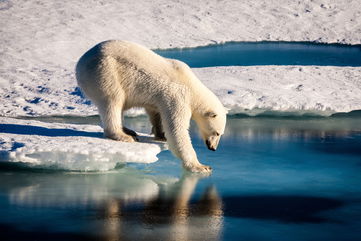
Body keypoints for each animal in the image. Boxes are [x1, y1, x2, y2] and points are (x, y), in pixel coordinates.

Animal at [76, 41, 226, 173]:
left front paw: (160, 134)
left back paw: (129, 130)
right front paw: (201, 166)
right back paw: (123, 135)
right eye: (217, 133)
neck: (192, 87)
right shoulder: (178, 97)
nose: (213, 148)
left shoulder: (159, 98)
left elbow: (155, 112)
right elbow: (177, 130)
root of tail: (80, 63)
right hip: (105, 72)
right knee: (113, 101)